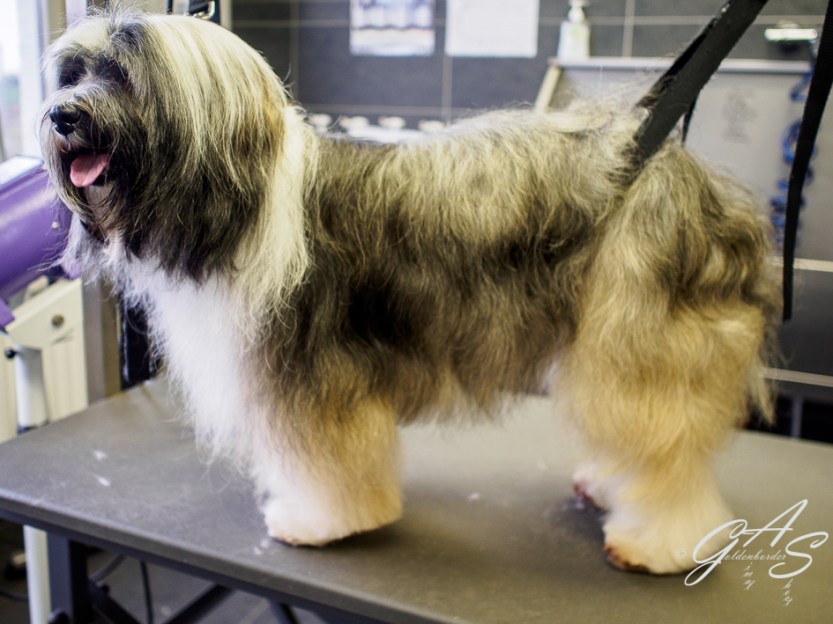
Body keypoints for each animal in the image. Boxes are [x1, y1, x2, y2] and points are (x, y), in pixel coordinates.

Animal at [40, 9, 779, 574]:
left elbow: (327, 466)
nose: (61, 115)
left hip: (640, 342)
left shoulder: (314, 380)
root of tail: (675, 169)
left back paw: (663, 544)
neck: (235, 207)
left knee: (670, 455)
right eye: (73, 73)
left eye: (125, 74)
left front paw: (315, 521)